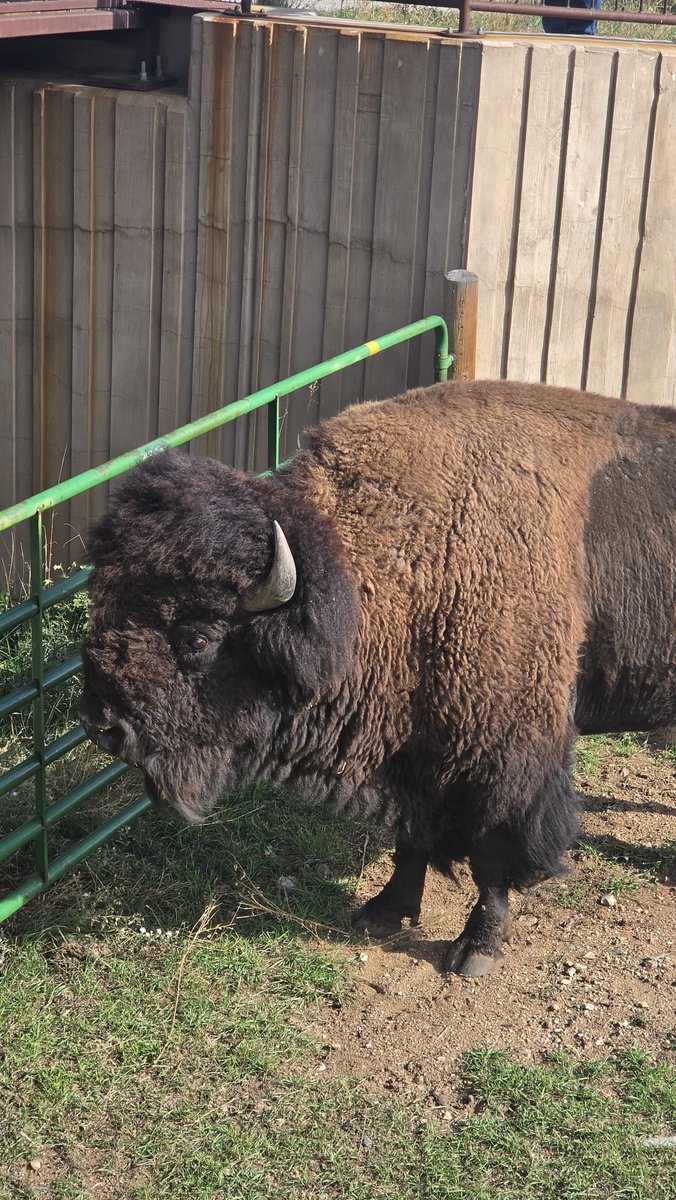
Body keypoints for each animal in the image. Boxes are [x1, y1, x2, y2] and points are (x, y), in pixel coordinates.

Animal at [80, 381, 676, 975]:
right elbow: (410, 839)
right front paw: (384, 911)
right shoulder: (411, 753)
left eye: (198, 638)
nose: (103, 726)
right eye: (103, 606)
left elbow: (491, 857)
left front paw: (475, 950)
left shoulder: (504, 759)